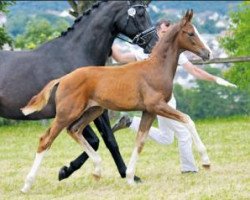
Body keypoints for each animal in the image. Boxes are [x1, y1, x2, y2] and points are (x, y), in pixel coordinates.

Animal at [0, 1, 156, 183]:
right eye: (140, 14)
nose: (154, 43)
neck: (74, 55)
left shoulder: (96, 109)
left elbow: (108, 139)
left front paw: (127, 174)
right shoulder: (70, 113)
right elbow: (96, 140)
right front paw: (66, 171)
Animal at [20, 9, 210, 192]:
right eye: (191, 33)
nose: (207, 53)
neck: (155, 68)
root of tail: (63, 78)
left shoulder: (149, 111)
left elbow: (140, 142)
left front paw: (131, 178)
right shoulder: (157, 105)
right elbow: (188, 119)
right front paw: (206, 161)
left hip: (93, 110)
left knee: (74, 130)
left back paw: (96, 170)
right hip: (66, 113)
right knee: (46, 140)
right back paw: (27, 185)